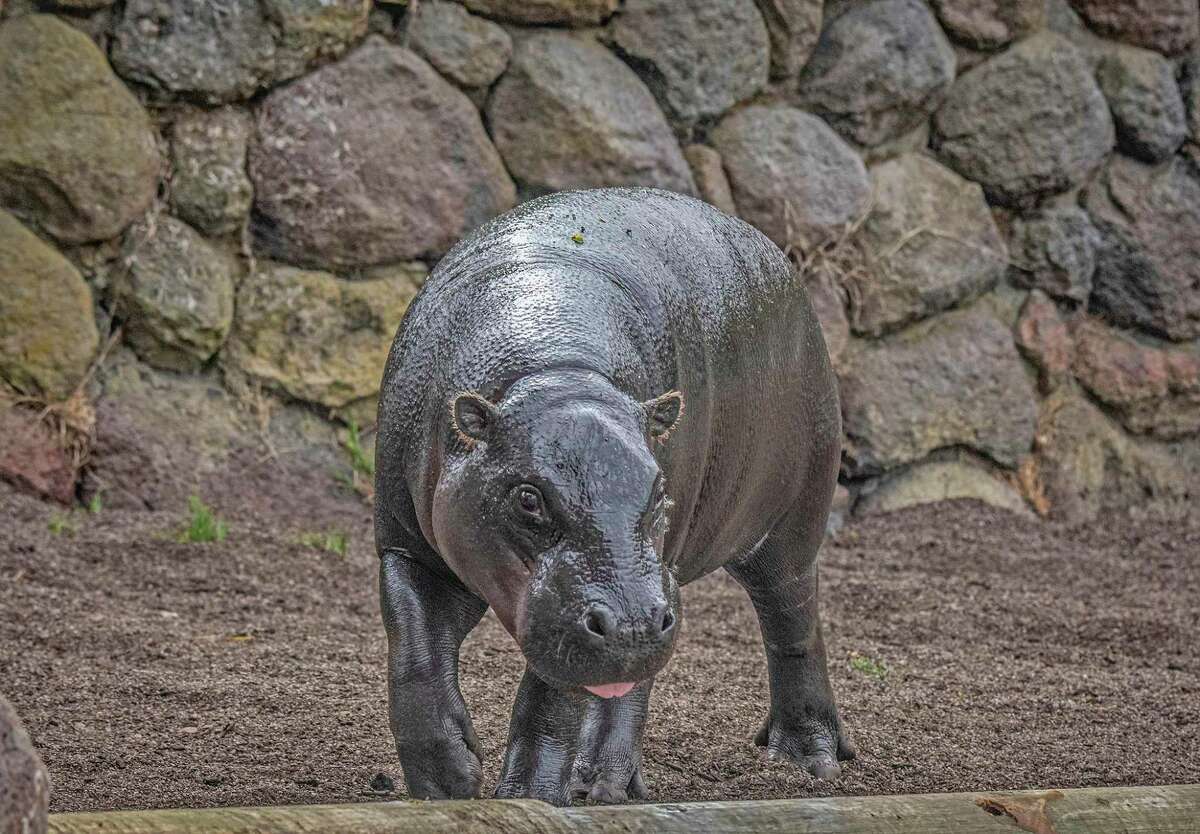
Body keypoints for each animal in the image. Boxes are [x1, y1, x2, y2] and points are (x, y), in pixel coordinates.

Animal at [376, 187, 854, 801]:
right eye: (527, 498)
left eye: (659, 492)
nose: (632, 625)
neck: (555, 373)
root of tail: (779, 258)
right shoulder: (407, 545)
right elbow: (414, 651)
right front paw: (447, 784)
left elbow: (551, 702)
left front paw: (527, 799)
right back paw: (602, 784)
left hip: (785, 523)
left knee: (791, 619)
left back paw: (808, 759)